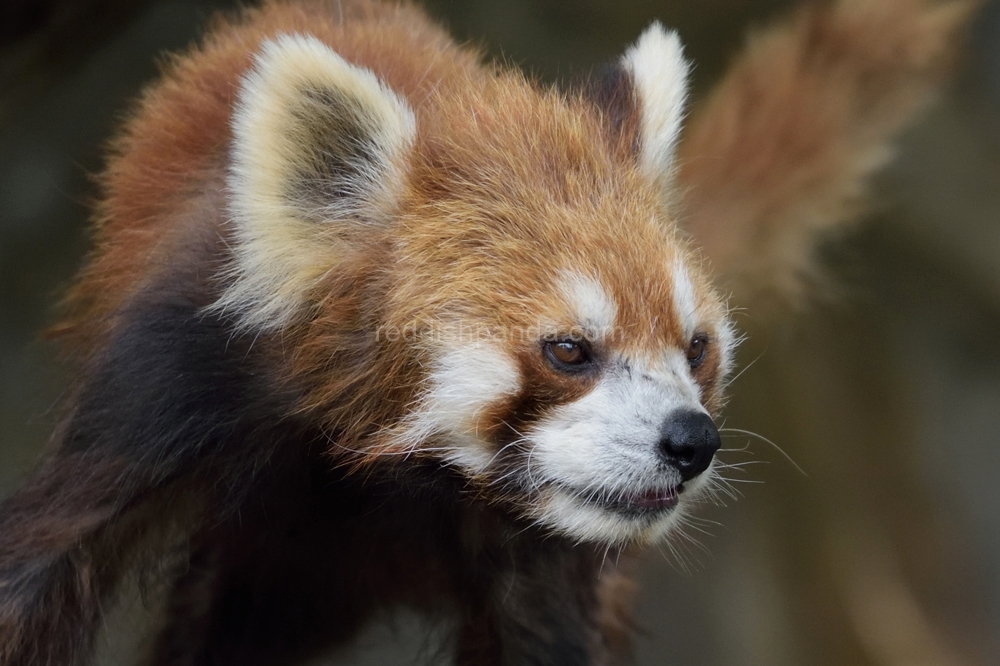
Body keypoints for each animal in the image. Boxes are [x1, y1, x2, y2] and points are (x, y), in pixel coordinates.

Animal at [0, 1, 968, 664]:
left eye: (695, 347)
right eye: (569, 350)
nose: (692, 440)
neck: (396, 471)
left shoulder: (549, 561)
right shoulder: (175, 374)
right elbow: (42, 563)